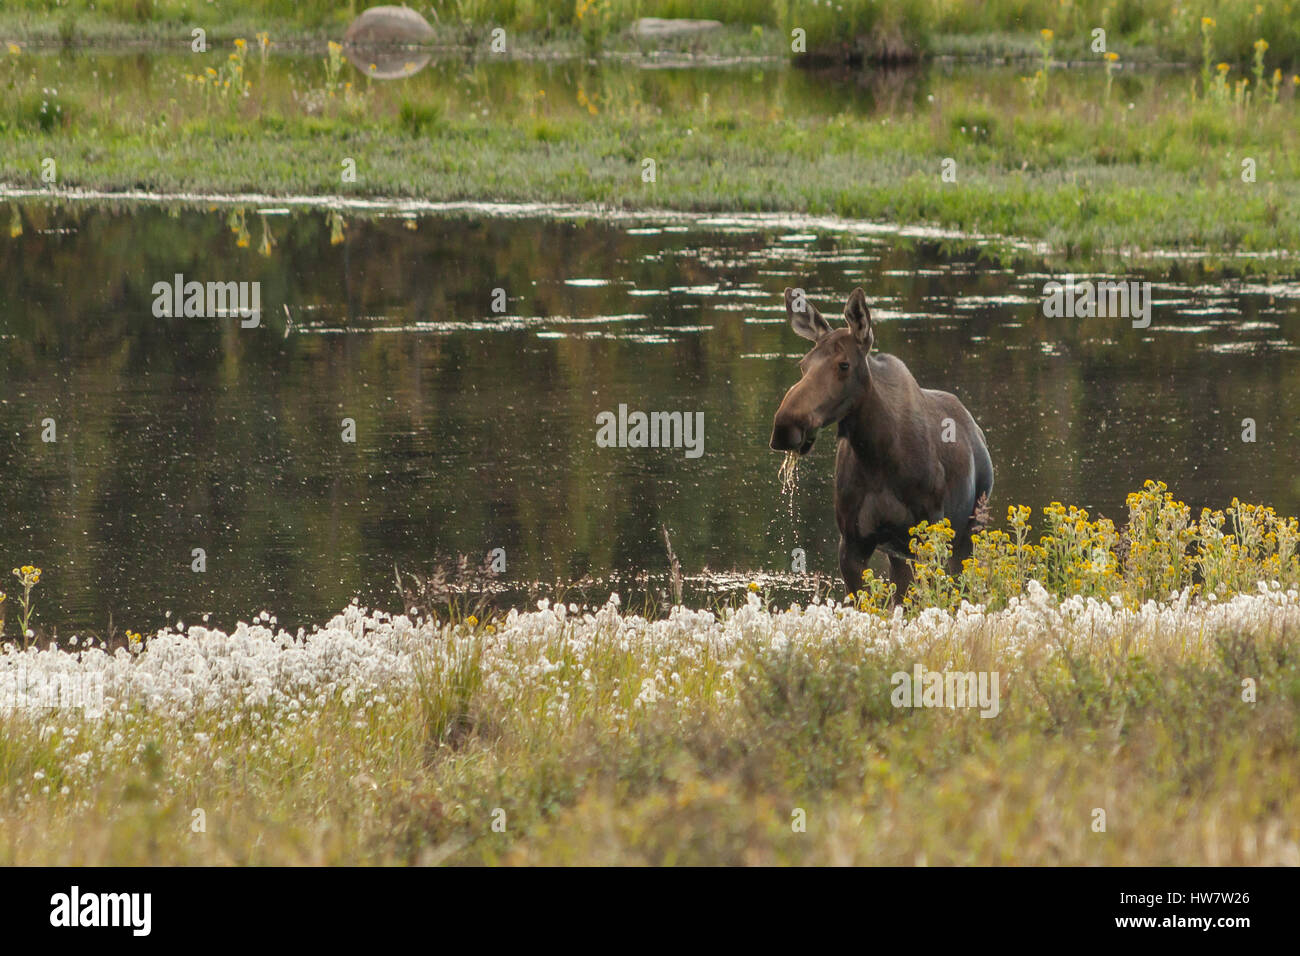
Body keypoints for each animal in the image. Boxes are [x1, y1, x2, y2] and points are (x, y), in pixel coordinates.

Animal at [769, 286, 993, 598]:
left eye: (844, 364)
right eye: (802, 365)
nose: (785, 426)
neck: (877, 455)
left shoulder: (928, 532)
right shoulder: (852, 542)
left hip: (969, 531)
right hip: (901, 552)